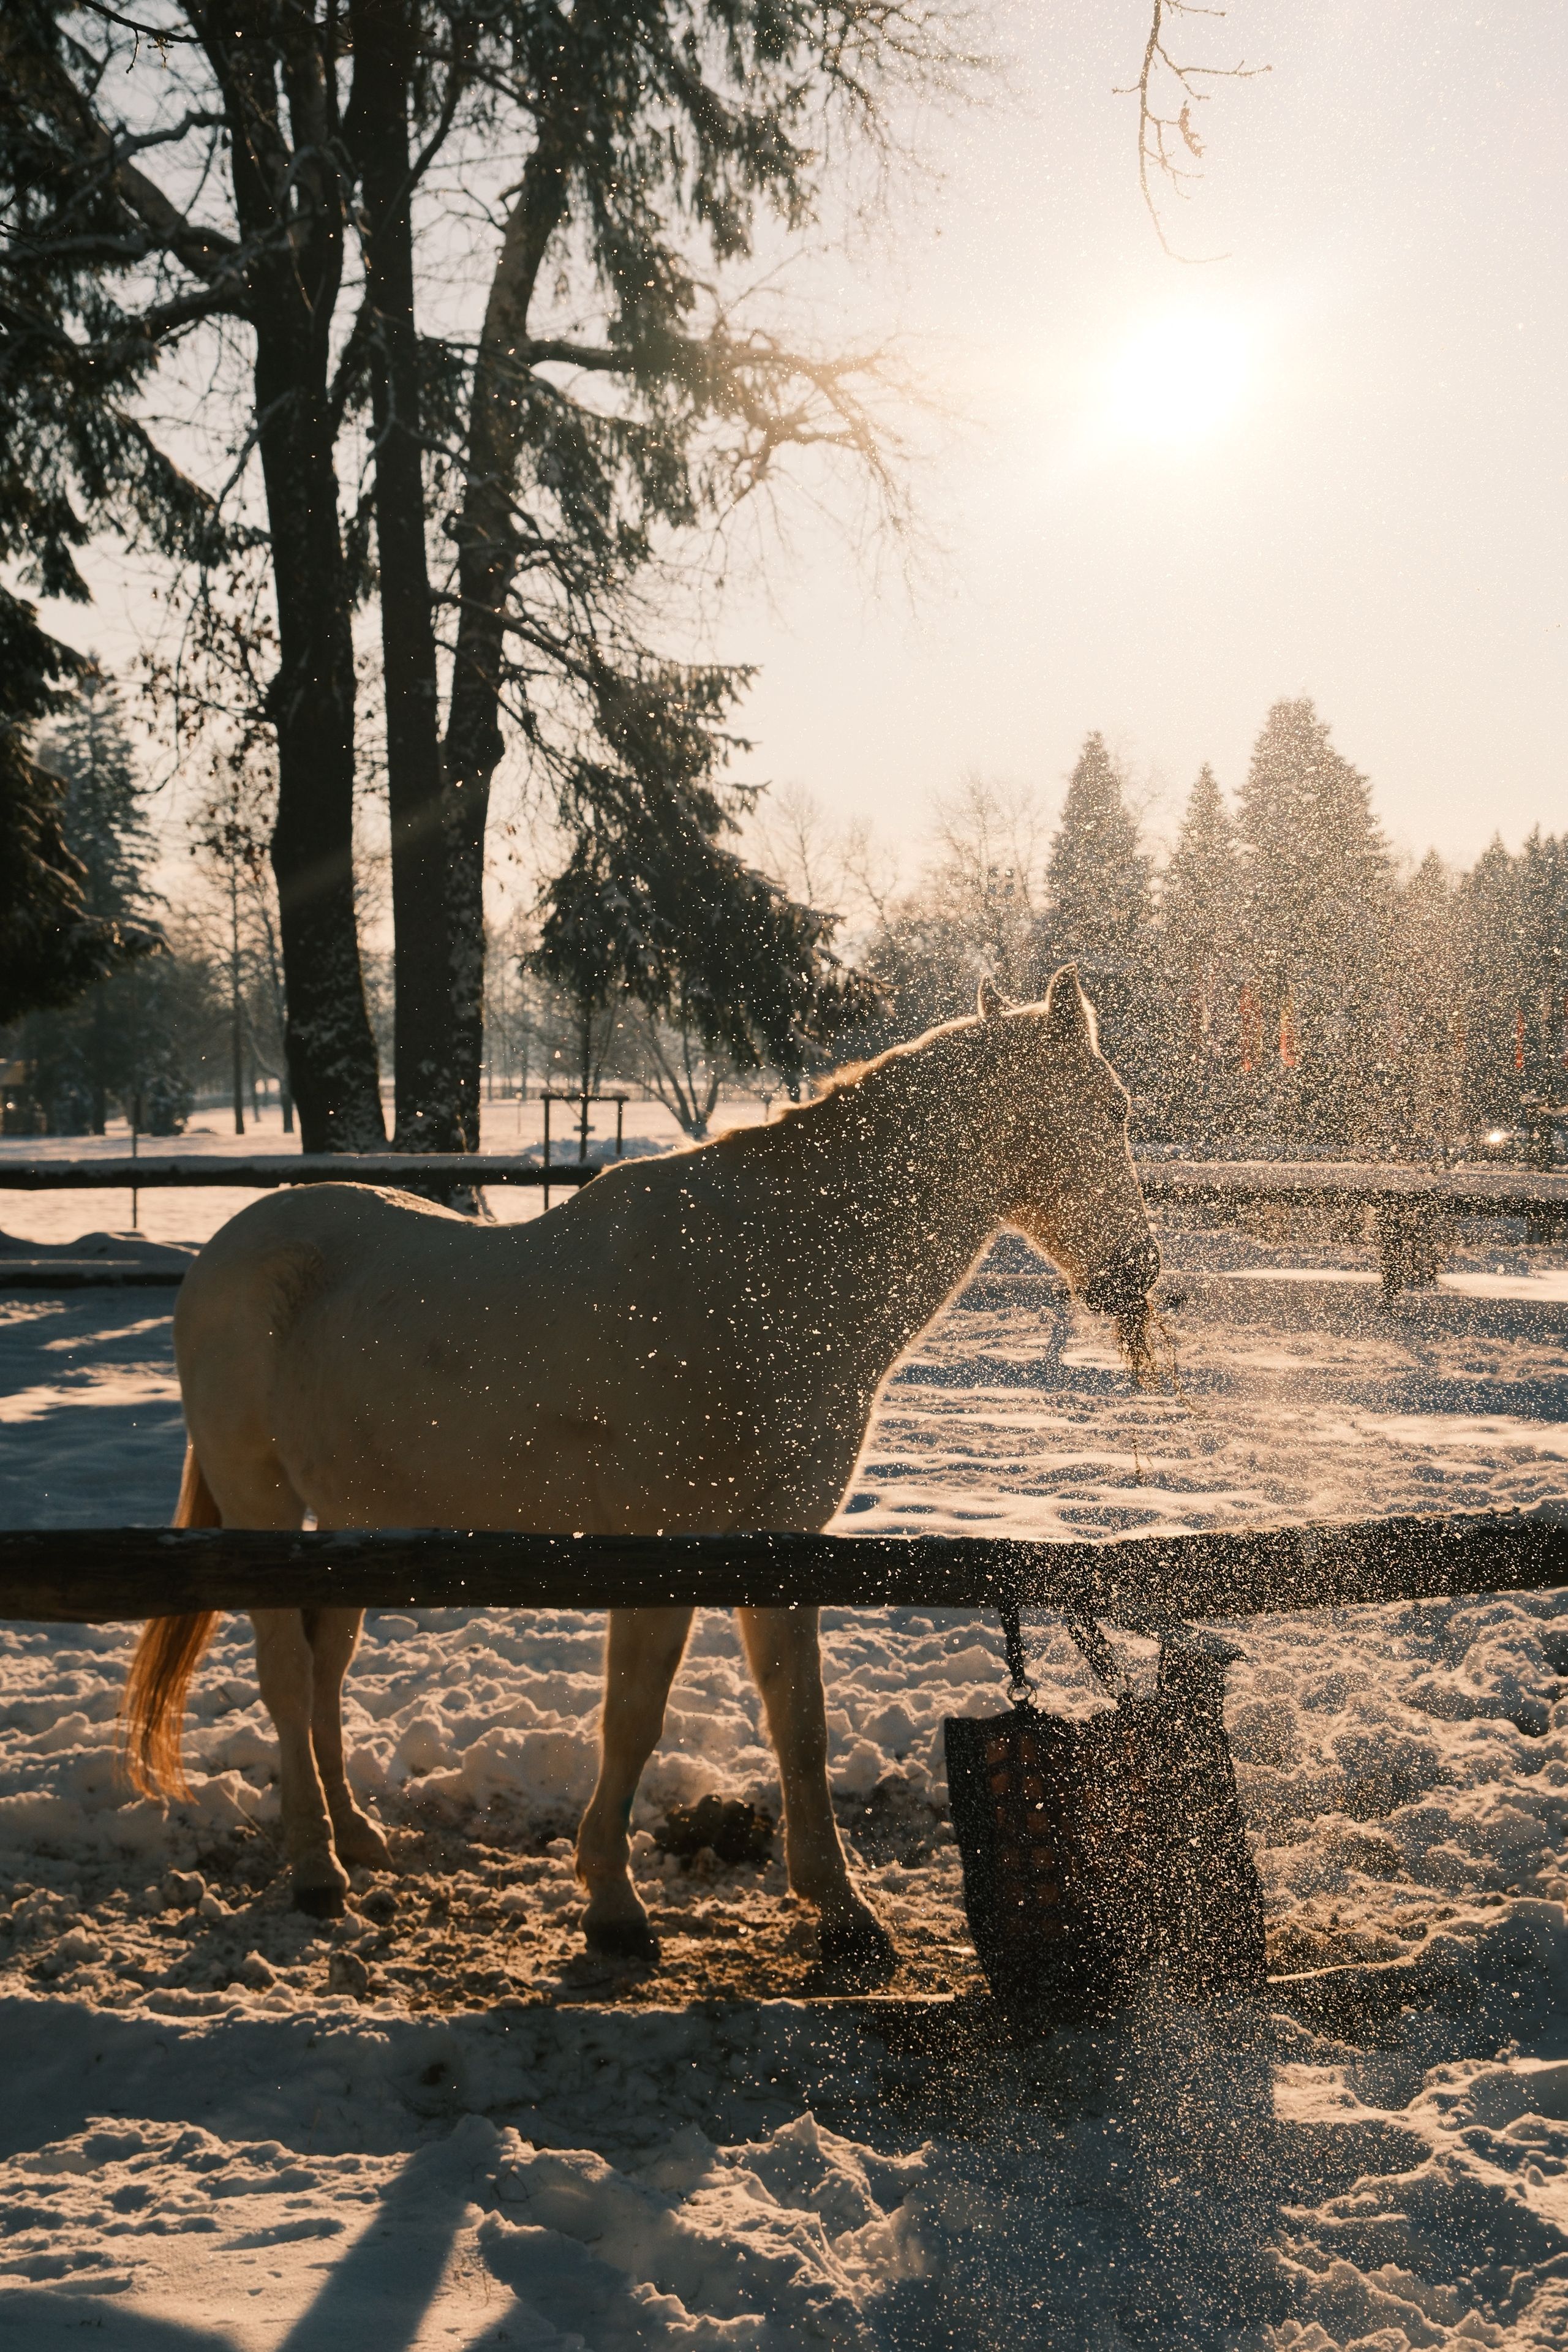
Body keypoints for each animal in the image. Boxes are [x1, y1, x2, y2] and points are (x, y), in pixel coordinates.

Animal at [121, 969, 1159, 1974]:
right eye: (1104, 1109)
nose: (1139, 1273)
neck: (767, 1279)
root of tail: (224, 1253)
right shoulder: (664, 1546)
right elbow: (632, 1717)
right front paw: (614, 1906)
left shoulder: (780, 1545)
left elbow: (799, 1722)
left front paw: (841, 1911)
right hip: (264, 1506)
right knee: (287, 1674)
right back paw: (315, 1870)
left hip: (348, 1521)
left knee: (325, 1667)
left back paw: (359, 1838)